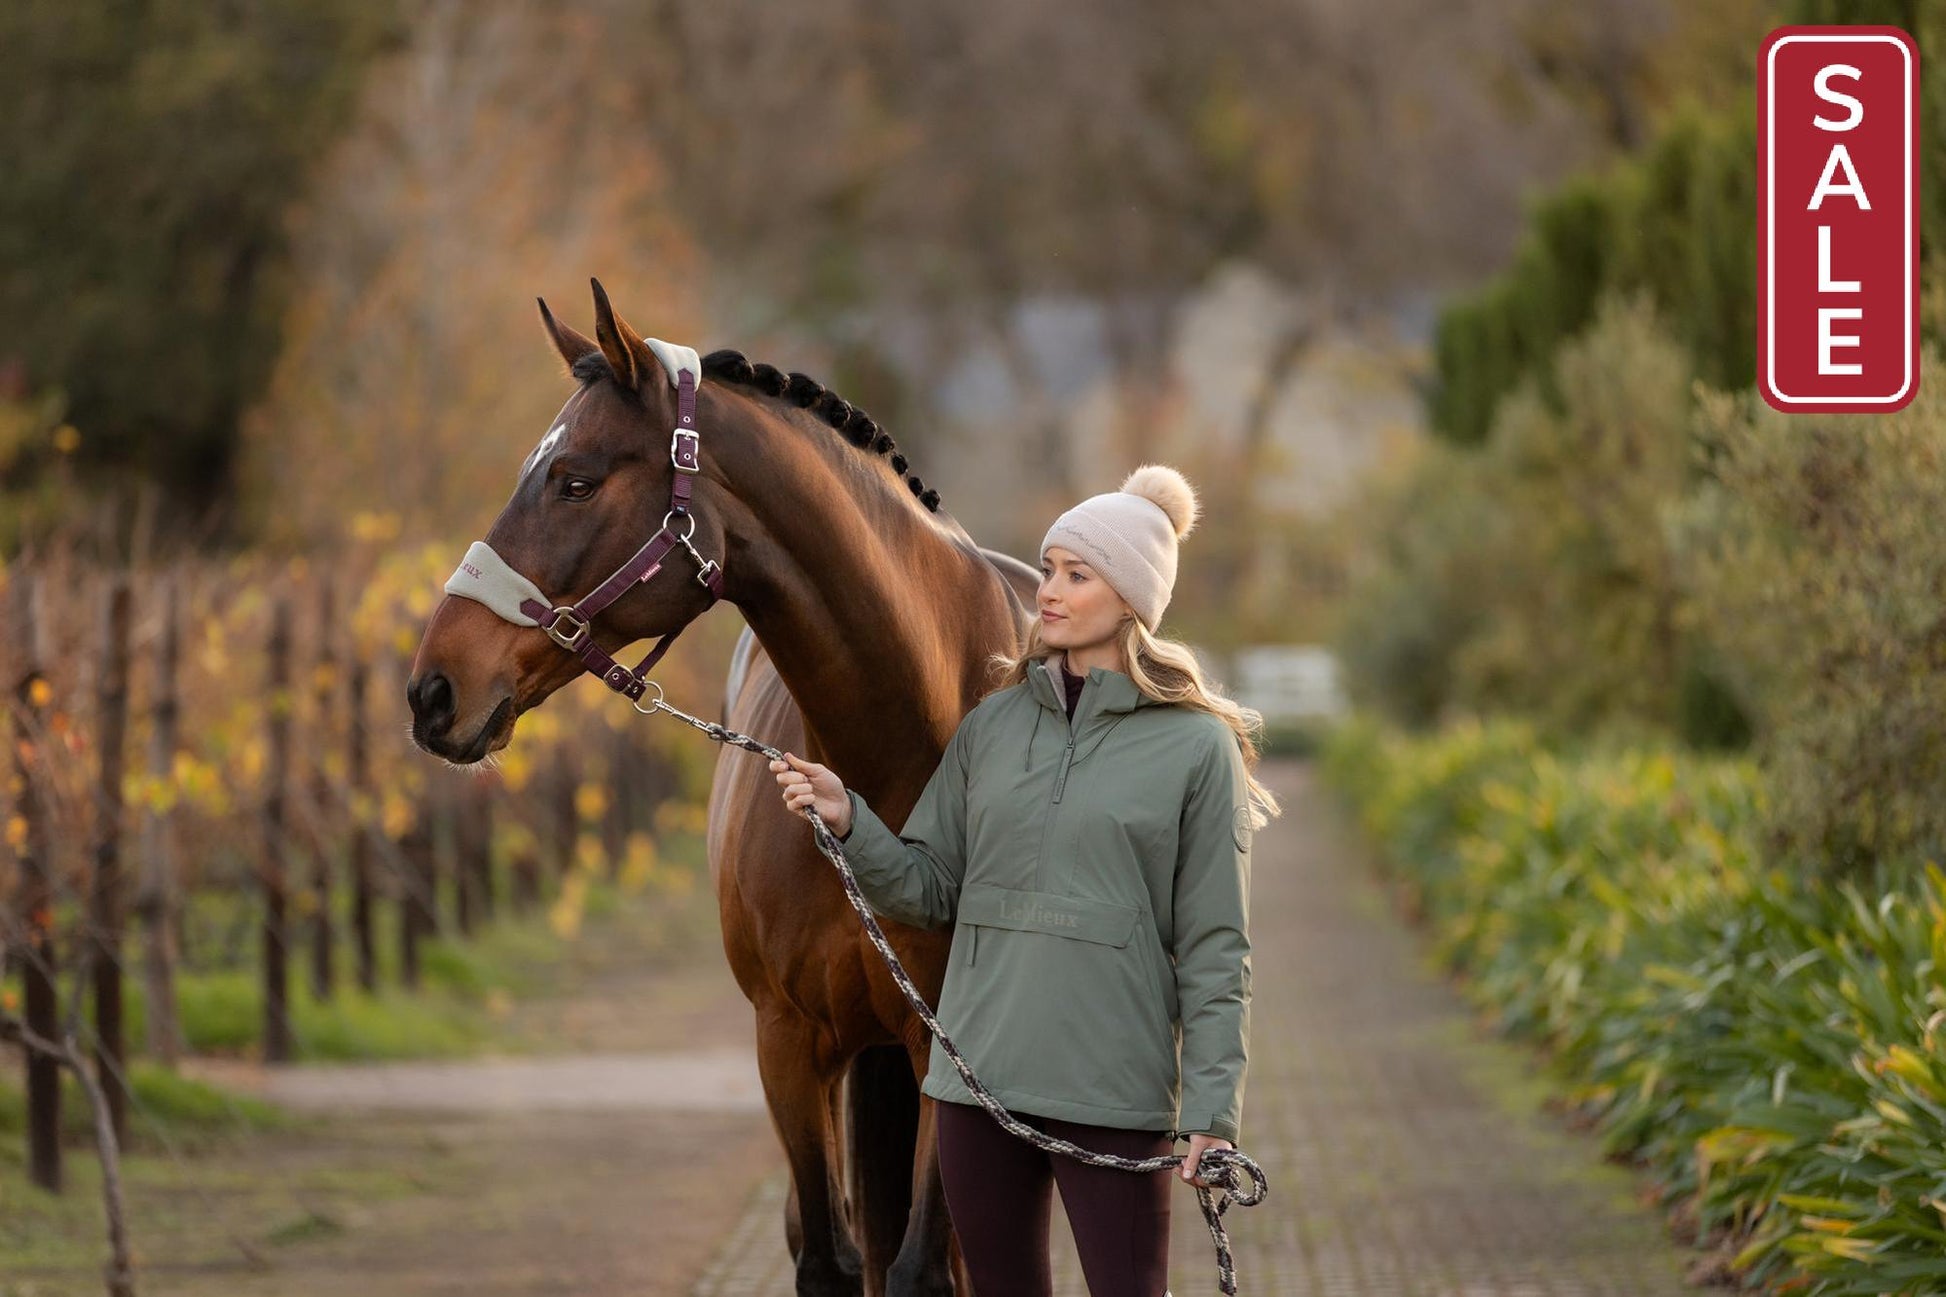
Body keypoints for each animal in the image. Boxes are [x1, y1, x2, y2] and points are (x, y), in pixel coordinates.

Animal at [406, 279, 1037, 1295]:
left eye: (576, 479)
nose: (432, 689)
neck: (897, 763)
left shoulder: (955, 1053)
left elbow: (920, 1268)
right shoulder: (787, 1042)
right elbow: (830, 1260)